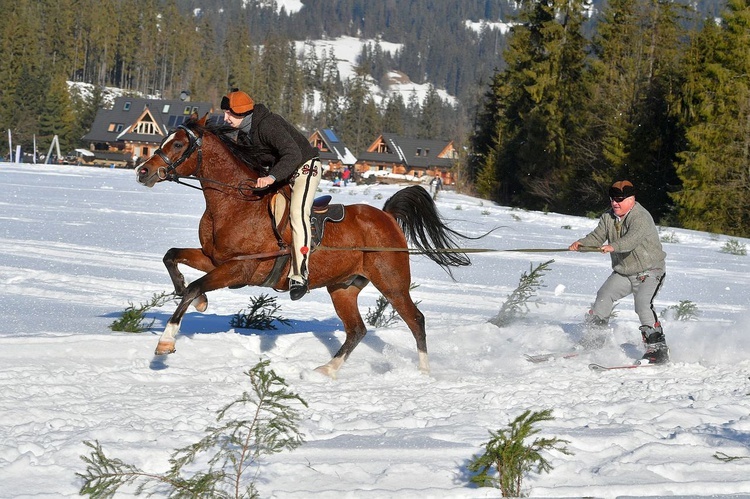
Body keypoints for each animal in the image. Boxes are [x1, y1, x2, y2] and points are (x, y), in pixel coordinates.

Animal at [137, 114, 470, 378]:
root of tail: (386, 215)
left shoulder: (239, 268)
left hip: (392, 283)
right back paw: (326, 370)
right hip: (343, 288)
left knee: (416, 320)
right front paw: (198, 299)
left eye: (178, 145)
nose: (143, 171)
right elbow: (172, 259)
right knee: (357, 330)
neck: (235, 204)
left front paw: (166, 341)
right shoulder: (214, 259)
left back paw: (423, 373)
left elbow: (194, 287)